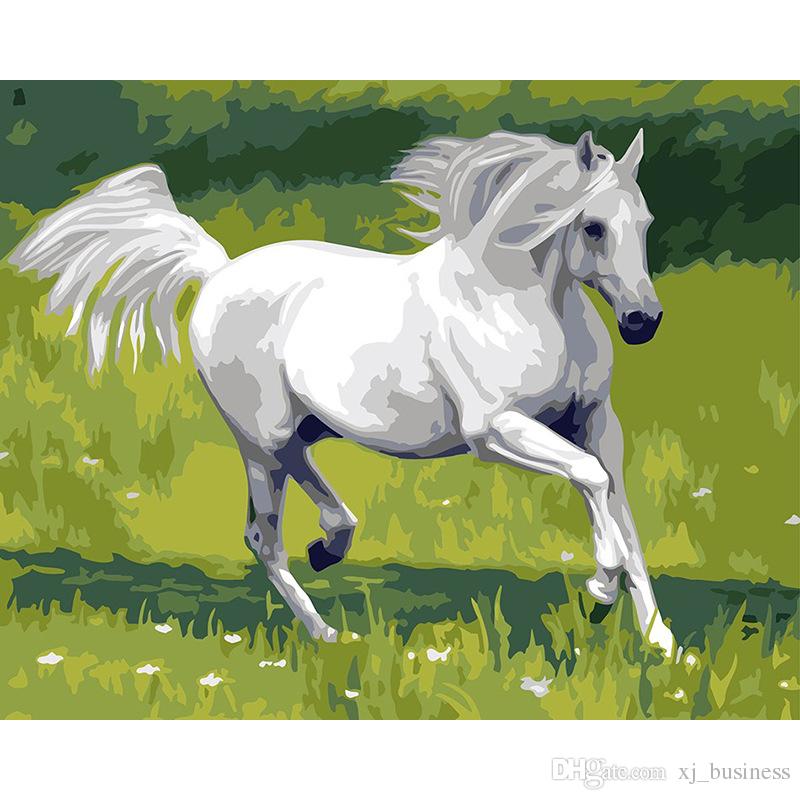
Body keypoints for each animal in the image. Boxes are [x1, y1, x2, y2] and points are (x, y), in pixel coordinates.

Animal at [9, 128, 676, 656]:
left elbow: (620, 507)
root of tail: (218, 271)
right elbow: (591, 481)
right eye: (593, 227)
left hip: (298, 431)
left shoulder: (595, 422)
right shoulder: (493, 430)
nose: (643, 322)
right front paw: (599, 590)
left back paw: (329, 556)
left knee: (306, 494)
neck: (520, 303)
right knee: (263, 536)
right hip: (259, 438)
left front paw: (661, 642)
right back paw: (327, 626)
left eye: (644, 224)